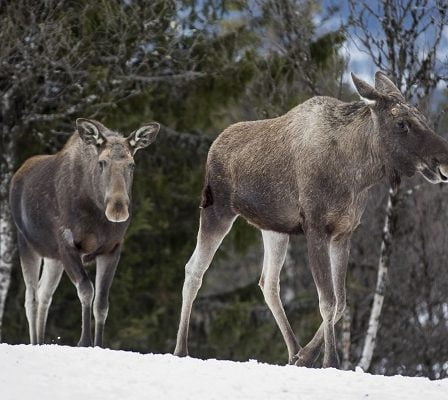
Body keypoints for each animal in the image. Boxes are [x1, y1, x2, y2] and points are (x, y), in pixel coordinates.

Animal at [173, 72, 448, 368]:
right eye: (401, 123)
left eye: (421, 116)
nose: (443, 160)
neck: (359, 174)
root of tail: (213, 146)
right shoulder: (316, 228)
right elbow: (327, 301)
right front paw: (330, 360)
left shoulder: (343, 233)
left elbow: (341, 302)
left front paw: (307, 355)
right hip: (217, 211)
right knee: (194, 269)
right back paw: (181, 348)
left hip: (273, 229)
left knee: (268, 282)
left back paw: (294, 351)